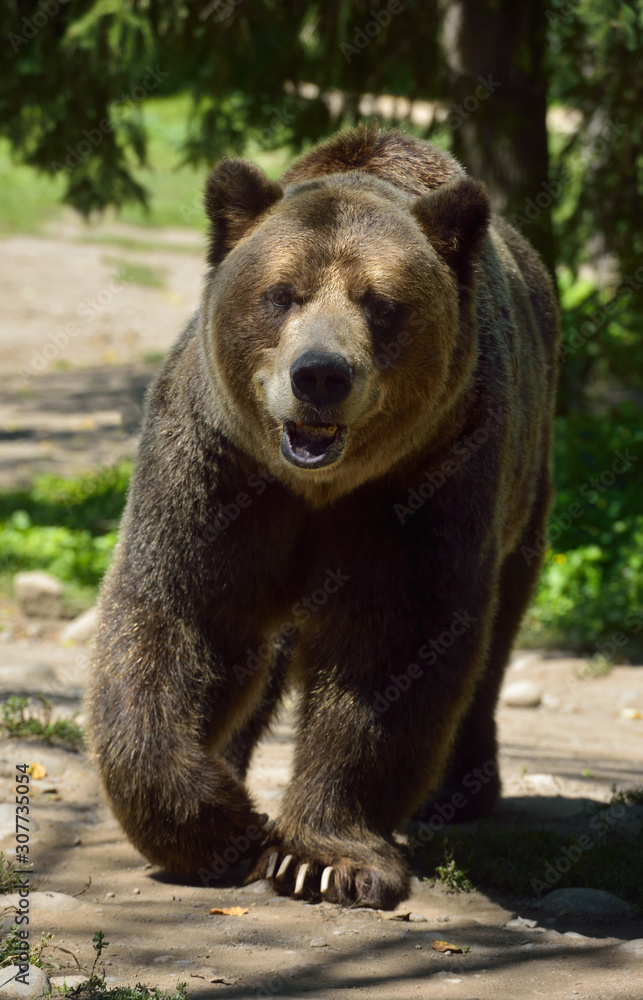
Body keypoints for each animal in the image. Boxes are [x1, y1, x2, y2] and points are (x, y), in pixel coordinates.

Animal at [87, 126, 560, 910]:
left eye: (381, 302)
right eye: (282, 294)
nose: (320, 375)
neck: (316, 488)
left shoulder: (423, 480)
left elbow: (393, 649)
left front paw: (322, 857)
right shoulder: (215, 466)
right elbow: (176, 617)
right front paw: (218, 822)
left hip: (524, 485)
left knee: (494, 634)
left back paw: (460, 790)